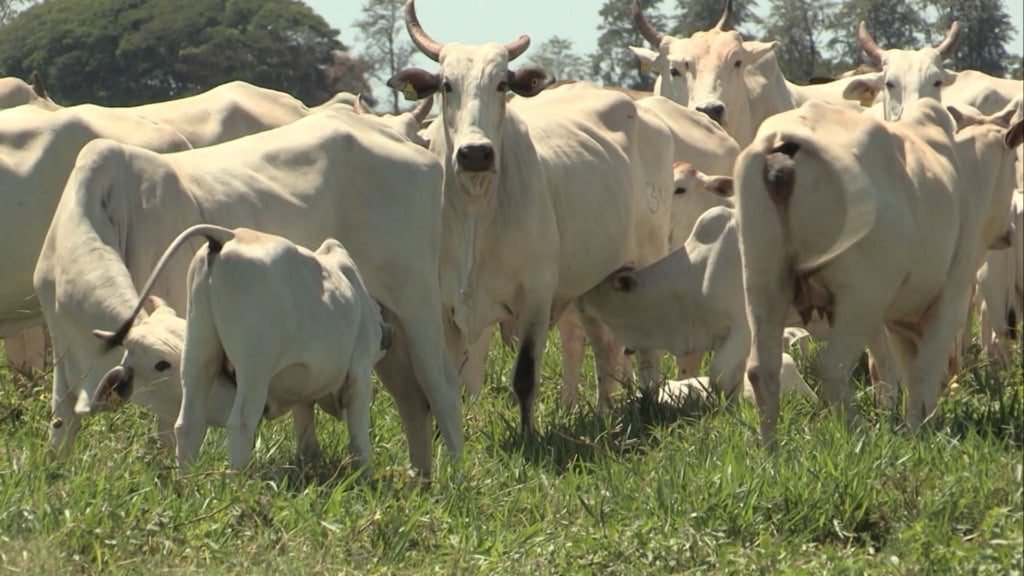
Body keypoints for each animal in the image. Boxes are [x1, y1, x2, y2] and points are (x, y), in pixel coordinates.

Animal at [91, 225, 388, 472]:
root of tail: (229, 235)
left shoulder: (303, 389)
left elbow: (306, 433)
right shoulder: (360, 371)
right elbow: (359, 437)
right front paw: (363, 475)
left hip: (199, 350)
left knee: (187, 425)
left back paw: (186, 483)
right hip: (255, 366)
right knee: (241, 423)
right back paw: (238, 484)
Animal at [387, 0, 675, 428]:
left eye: (501, 84)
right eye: (446, 85)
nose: (476, 153)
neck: (475, 211)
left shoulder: (535, 299)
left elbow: (524, 377)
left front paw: (528, 434)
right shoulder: (443, 306)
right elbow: (444, 383)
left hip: (647, 260)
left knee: (645, 346)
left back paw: (651, 400)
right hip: (593, 280)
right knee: (604, 347)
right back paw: (605, 413)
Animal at [736, 98, 1022, 443]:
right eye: (1015, 159)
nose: (1008, 232)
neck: (965, 177)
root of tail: (784, 147)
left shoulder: (900, 318)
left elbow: (911, 374)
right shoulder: (950, 298)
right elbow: (926, 371)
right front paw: (919, 432)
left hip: (763, 283)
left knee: (762, 369)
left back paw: (770, 448)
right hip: (862, 299)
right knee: (831, 368)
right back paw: (860, 436)